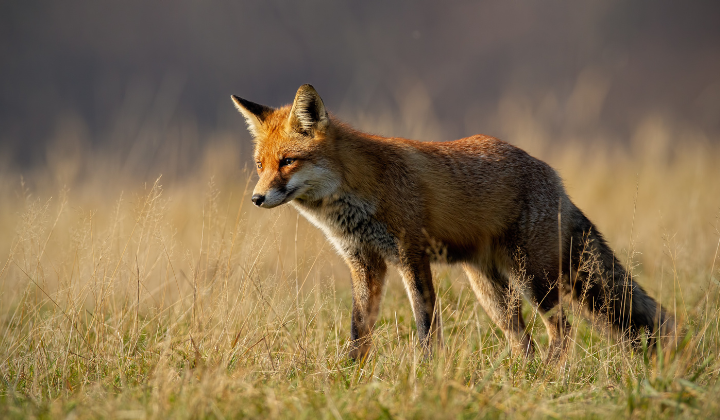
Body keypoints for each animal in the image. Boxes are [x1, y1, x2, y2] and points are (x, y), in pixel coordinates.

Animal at [232, 84, 676, 360]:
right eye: (260, 165)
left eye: (288, 161)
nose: (256, 198)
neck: (358, 192)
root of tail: (553, 175)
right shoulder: (365, 263)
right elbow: (360, 331)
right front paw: (348, 377)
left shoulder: (411, 255)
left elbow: (426, 327)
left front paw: (425, 372)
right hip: (491, 292)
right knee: (525, 341)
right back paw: (523, 379)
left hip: (534, 279)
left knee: (562, 330)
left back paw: (548, 377)